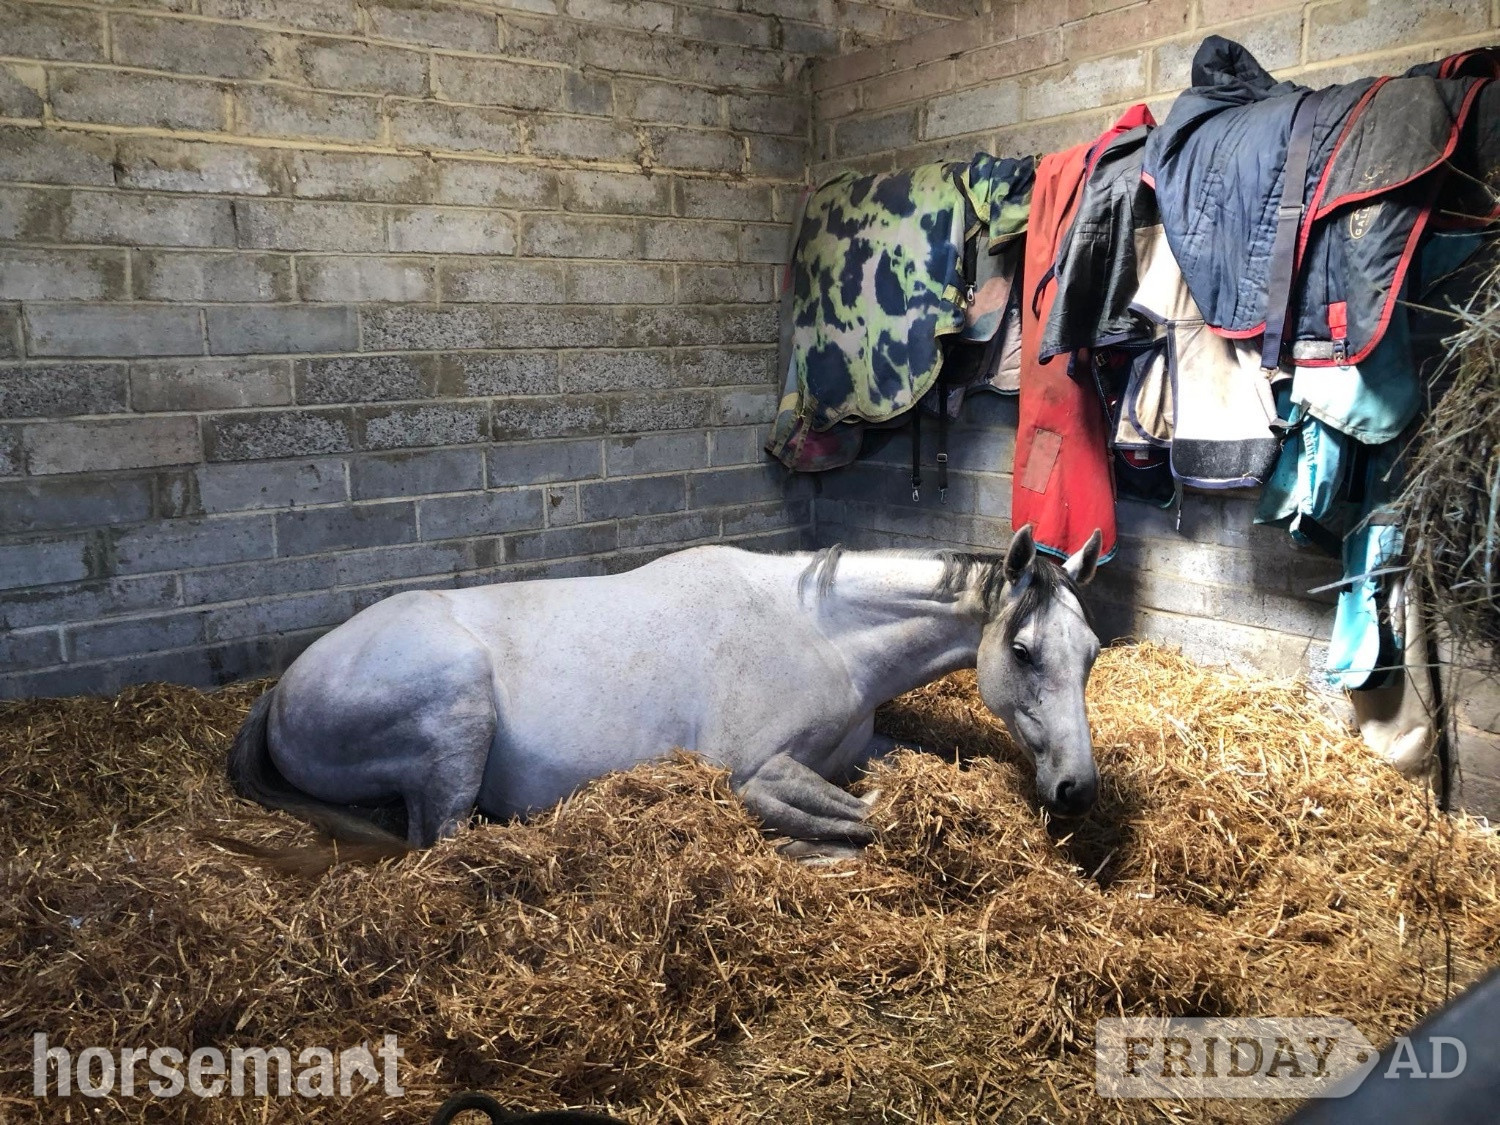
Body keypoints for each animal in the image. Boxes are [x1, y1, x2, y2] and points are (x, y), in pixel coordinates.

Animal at [227, 523, 1103, 852]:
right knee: (437, 842)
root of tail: (285, 687)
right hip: (455, 718)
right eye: (1022, 650)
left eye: (1092, 652)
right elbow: (862, 817)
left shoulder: (858, 744)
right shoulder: (753, 772)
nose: (1079, 790)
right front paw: (804, 847)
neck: (824, 635)